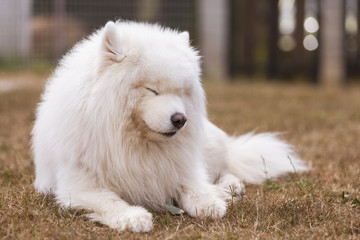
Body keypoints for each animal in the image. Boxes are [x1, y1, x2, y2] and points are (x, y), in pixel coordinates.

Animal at [31, 20, 308, 232]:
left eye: (181, 92)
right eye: (152, 90)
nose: (180, 119)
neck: (133, 144)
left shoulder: (180, 166)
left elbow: (192, 183)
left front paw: (208, 201)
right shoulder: (79, 185)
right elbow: (109, 200)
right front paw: (132, 217)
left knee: (225, 166)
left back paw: (229, 186)